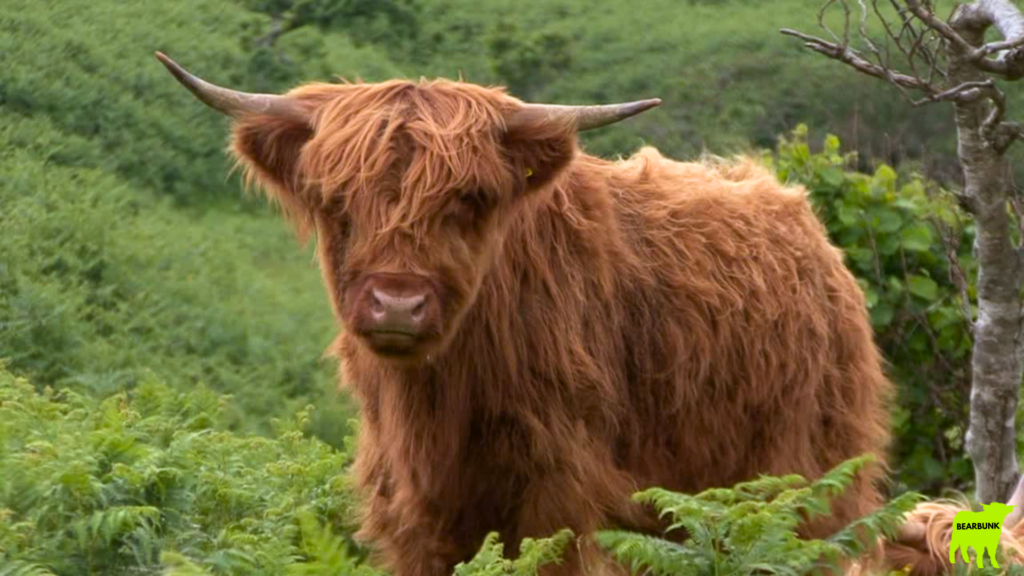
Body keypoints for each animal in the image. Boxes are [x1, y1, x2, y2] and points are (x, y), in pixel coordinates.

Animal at [156, 52, 892, 575]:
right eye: (339, 203)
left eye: (466, 201)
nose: (398, 302)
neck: (443, 401)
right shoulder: (416, 515)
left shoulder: (561, 498)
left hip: (811, 487)